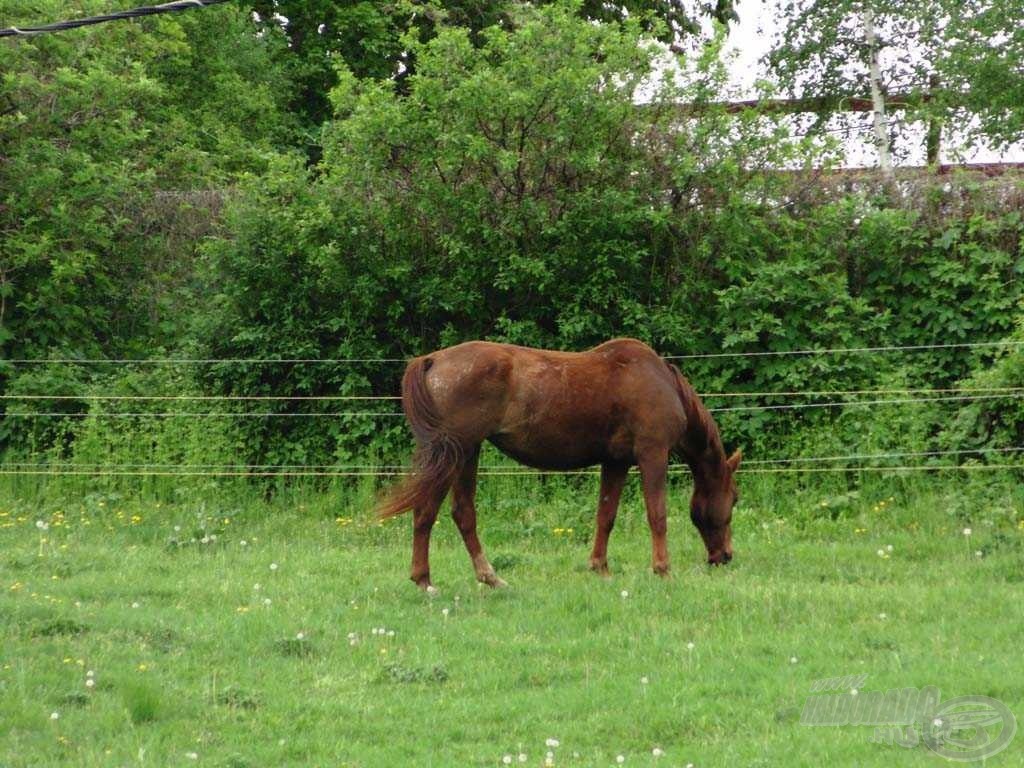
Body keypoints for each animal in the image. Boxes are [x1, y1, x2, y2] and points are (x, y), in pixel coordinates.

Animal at [374, 335, 737, 589]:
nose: (725, 557)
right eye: (734, 498)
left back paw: (489, 577)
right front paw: (662, 570)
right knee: (426, 512)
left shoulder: (615, 462)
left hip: (467, 452)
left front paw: (600, 567)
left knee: (462, 513)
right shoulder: (653, 454)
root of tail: (433, 359)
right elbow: (657, 514)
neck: (660, 381)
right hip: (456, 452)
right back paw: (425, 581)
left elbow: (606, 515)